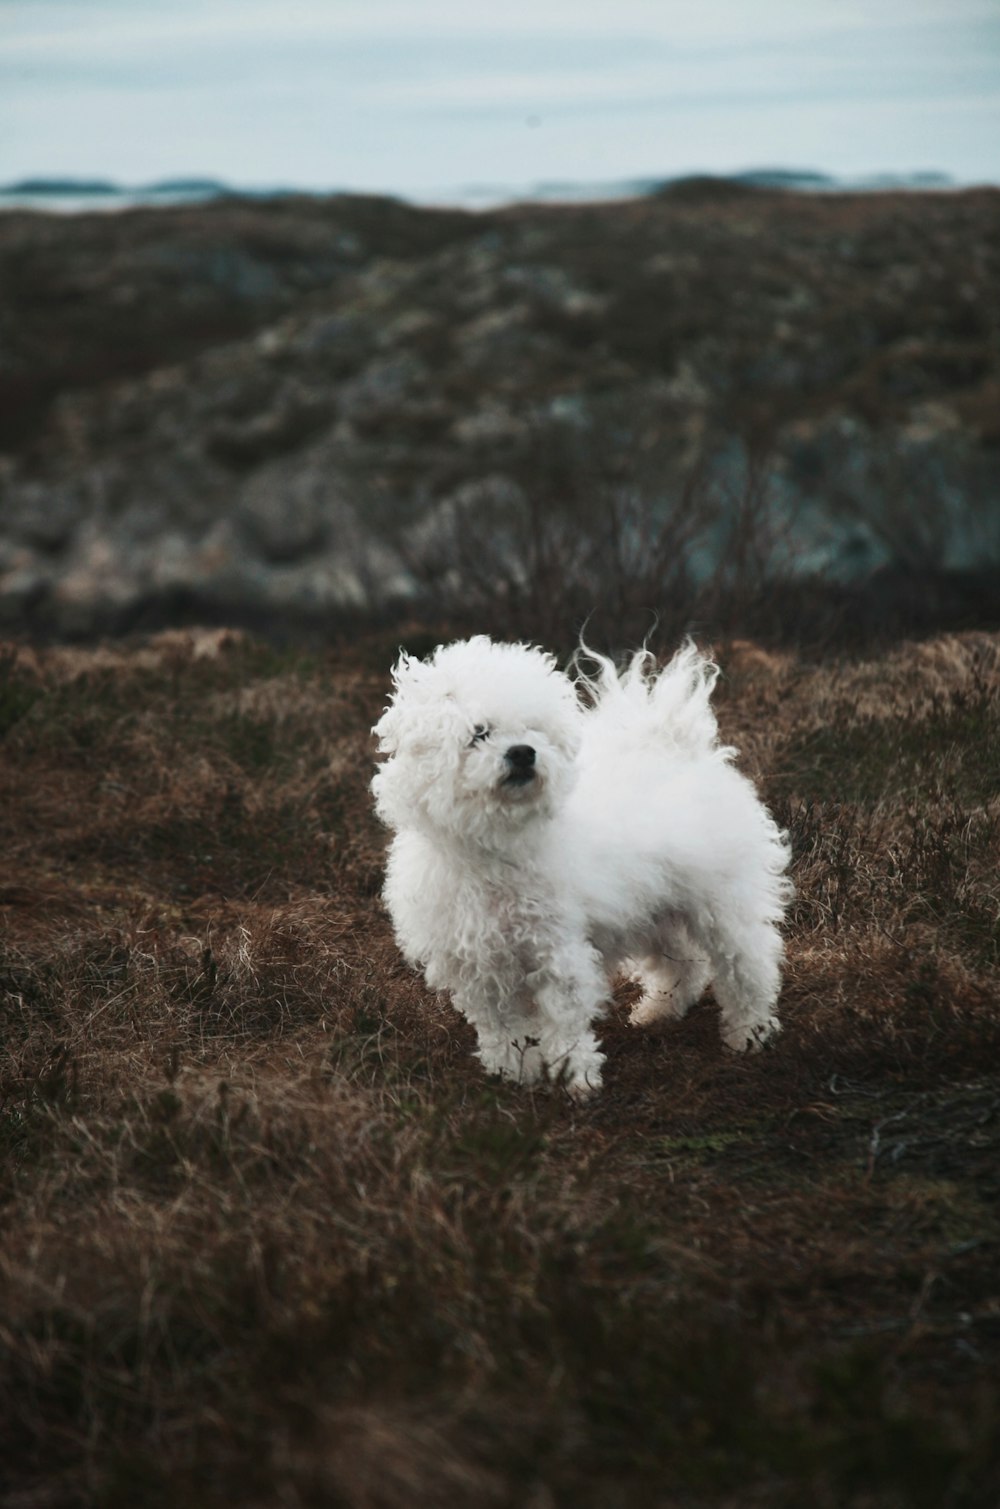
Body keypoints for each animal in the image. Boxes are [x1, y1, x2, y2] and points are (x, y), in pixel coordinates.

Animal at [371, 639, 796, 1098]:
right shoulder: (480, 968)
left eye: (534, 730)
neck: (496, 849)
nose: (523, 752)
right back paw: (659, 1010)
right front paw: (513, 1071)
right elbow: (502, 1028)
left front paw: (574, 1076)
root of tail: (674, 744)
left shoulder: (558, 953)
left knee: (747, 966)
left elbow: (565, 1022)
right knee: (683, 964)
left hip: (723, 905)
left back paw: (750, 1031)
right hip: (653, 909)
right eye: (479, 733)